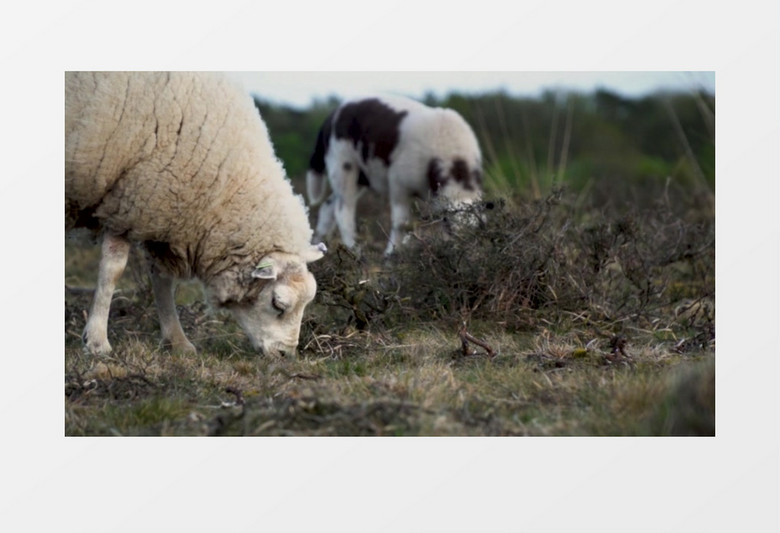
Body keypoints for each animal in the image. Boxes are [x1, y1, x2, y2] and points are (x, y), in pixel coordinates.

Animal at [64, 68, 326, 356]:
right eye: (278, 304)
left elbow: (163, 280)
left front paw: (177, 340)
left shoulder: (156, 210)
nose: (285, 355)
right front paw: (97, 341)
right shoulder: (126, 199)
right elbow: (113, 270)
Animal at [304, 94, 482, 255]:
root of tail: (331, 116)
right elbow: (401, 223)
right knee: (343, 212)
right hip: (342, 164)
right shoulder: (399, 183)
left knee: (327, 208)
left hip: (361, 176)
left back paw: (318, 247)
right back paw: (354, 251)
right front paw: (391, 256)